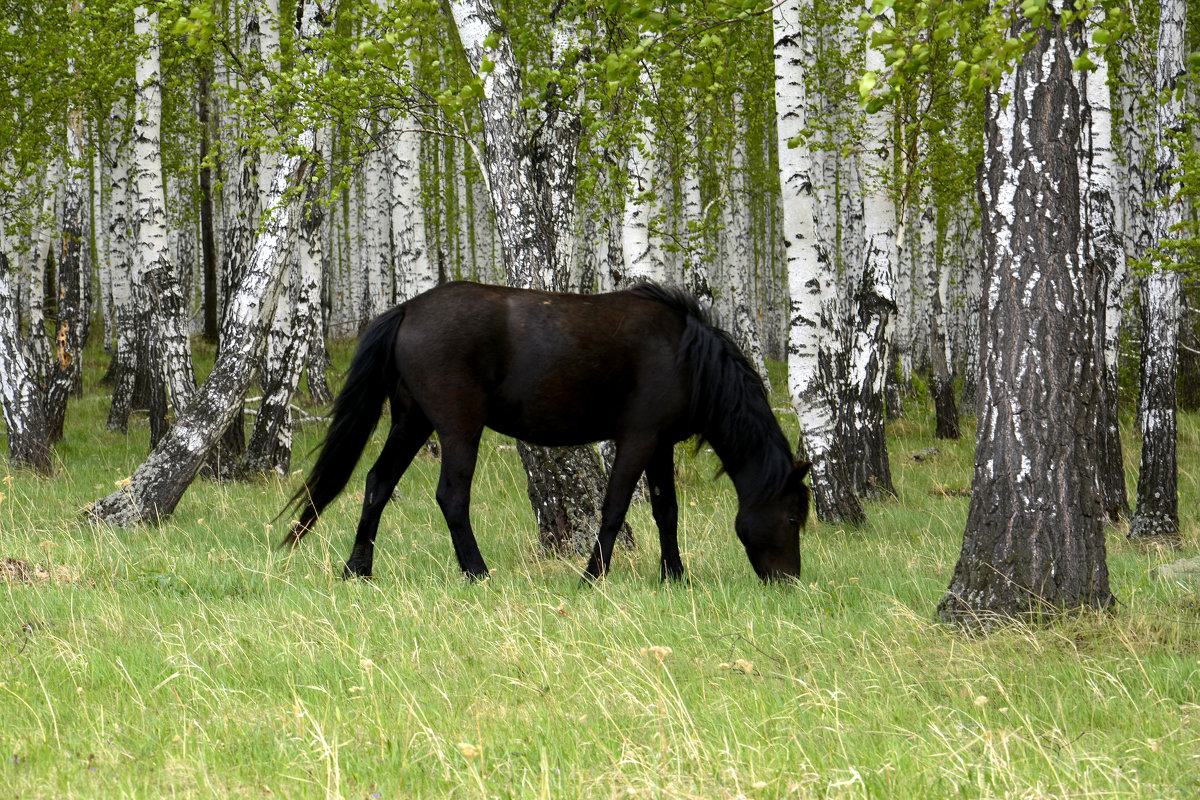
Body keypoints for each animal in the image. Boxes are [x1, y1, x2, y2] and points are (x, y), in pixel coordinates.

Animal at [279, 281, 806, 582]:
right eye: (793, 516)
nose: (789, 580)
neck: (687, 357)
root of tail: (407, 308)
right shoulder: (637, 439)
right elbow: (614, 508)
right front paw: (593, 577)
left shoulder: (660, 446)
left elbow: (666, 512)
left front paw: (674, 576)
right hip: (457, 428)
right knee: (451, 496)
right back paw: (477, 572)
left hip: (412, 421)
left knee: (378, 483)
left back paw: (357, 570)